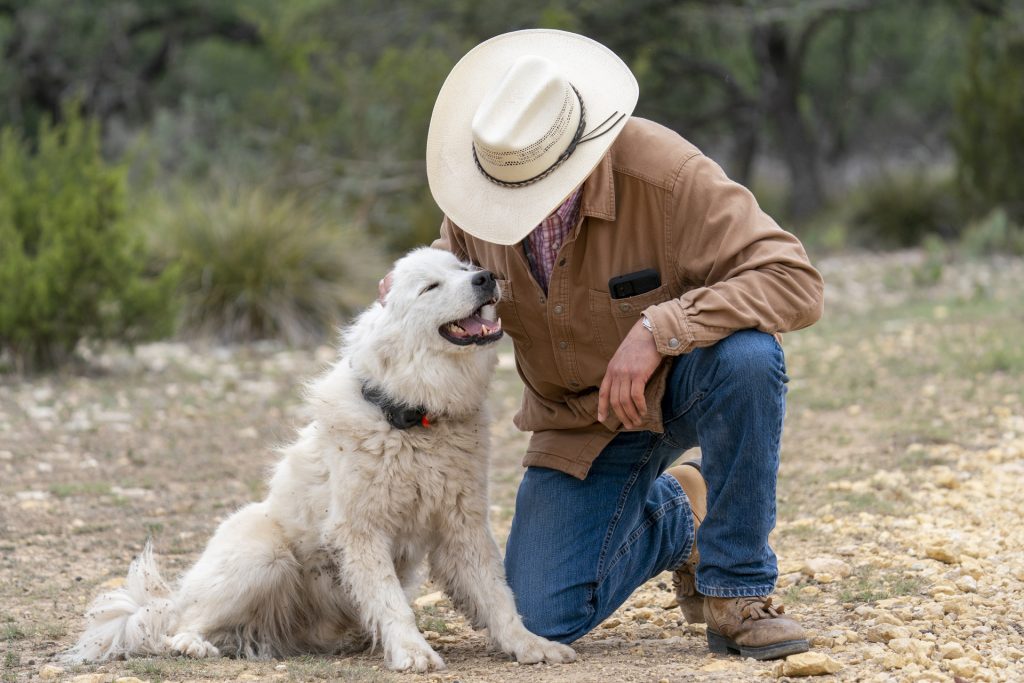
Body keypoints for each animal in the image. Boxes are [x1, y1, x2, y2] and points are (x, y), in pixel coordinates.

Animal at [66, 248, 577, 671]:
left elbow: (497, 596)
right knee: (181, 624)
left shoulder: (462, 526)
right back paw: (194, 644)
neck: (414, 416)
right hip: (264, 556)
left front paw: (530, 645)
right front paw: (412, 652)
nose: (486, 277)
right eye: (430, 287)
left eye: (463, 266)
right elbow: (392, 602)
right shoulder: (362, 531)